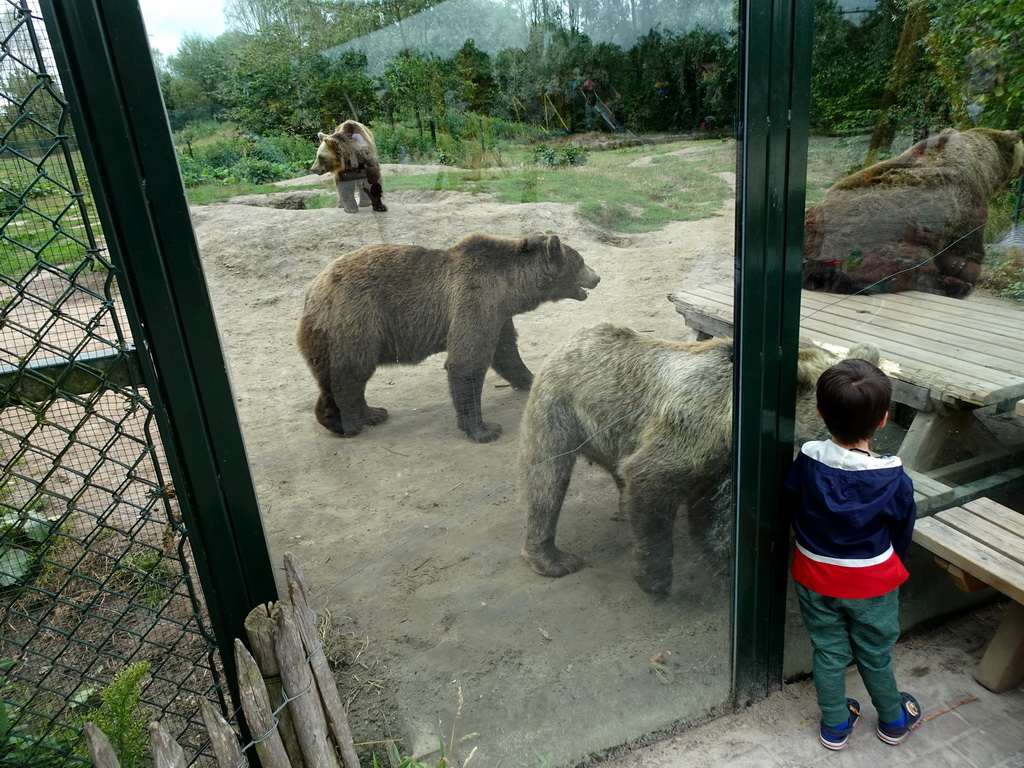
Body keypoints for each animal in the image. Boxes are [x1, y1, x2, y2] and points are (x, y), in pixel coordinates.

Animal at [296, 231, 598, 442]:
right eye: (581, 261)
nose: (597, 278)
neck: (510, 286)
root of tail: (312, 290)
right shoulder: (474, 298)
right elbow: (467, 361)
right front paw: (484, 429)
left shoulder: (498, 313)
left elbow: (506, 352)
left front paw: (529, 378)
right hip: (356, 321)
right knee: (349, 372)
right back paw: (347, 422)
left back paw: (369, 414)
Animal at [520, 321, 880, 598]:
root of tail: (574, 337)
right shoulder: (695, 425)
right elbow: (653, 480)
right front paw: (656, 580)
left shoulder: (724, 461)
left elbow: (713, 512)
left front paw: (722, 559)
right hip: (559, 409)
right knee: (546, 481)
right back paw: (552, 558)